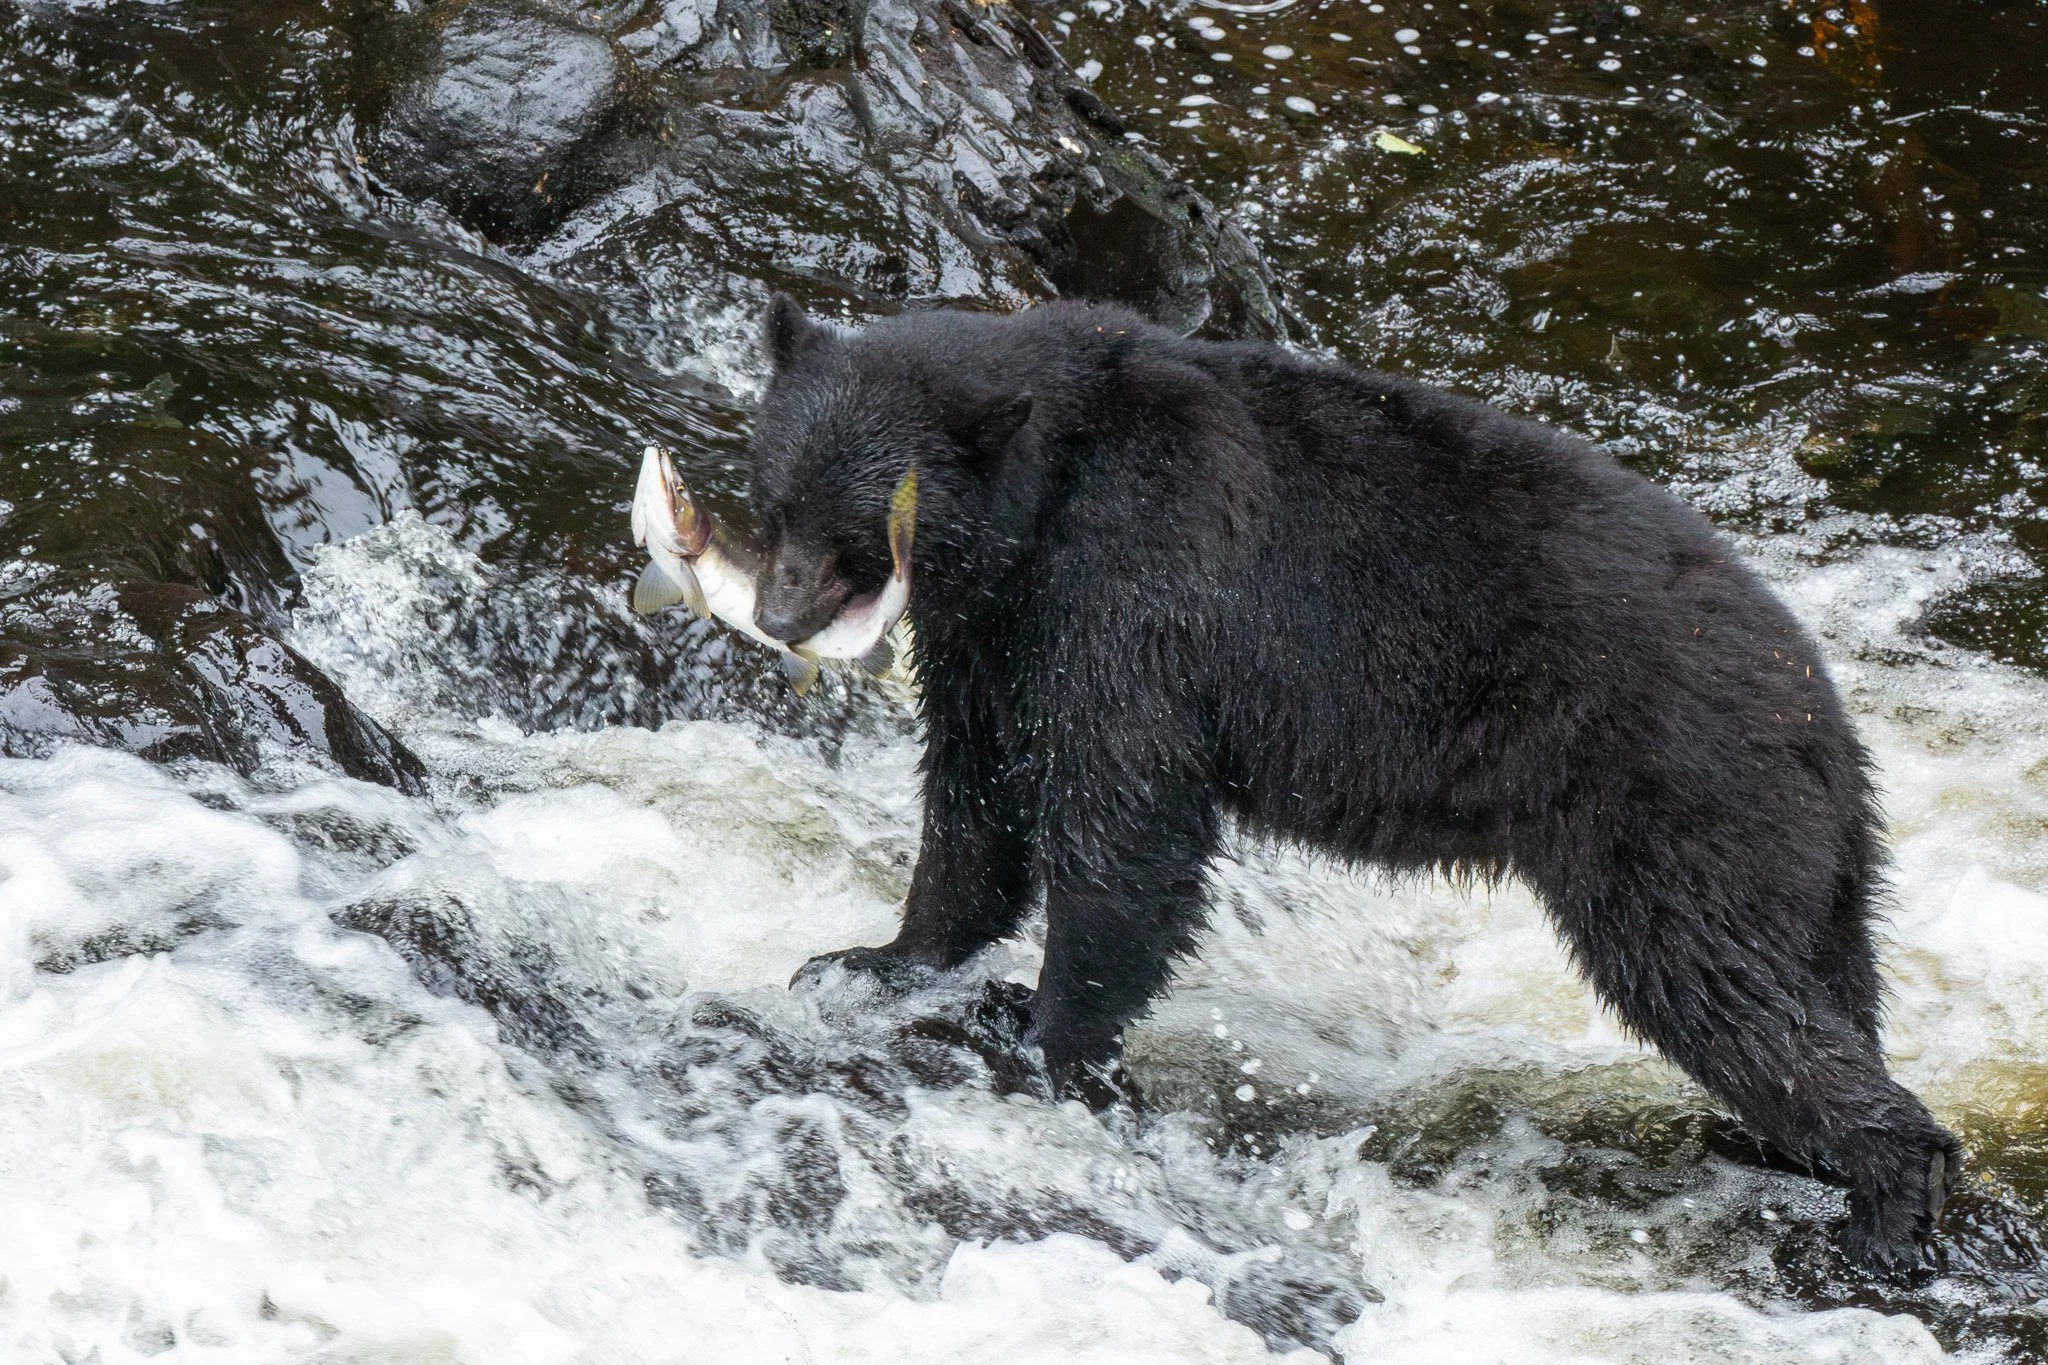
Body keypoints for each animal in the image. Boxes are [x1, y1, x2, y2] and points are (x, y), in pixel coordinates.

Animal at [742, 294, 1957, 1271]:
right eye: (774, 499)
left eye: (859, 528)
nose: (777, 616)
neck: (1039, 506)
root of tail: (1822, 710)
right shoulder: (992, 635)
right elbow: (974, 796)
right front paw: (876, 958)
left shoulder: (1131, 582)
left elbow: (1124, 819)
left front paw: (1040, 1032)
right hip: (1806, 860)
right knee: (1818, 979)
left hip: (1672, 801)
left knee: (1714, 980)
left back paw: (1892, 1198)